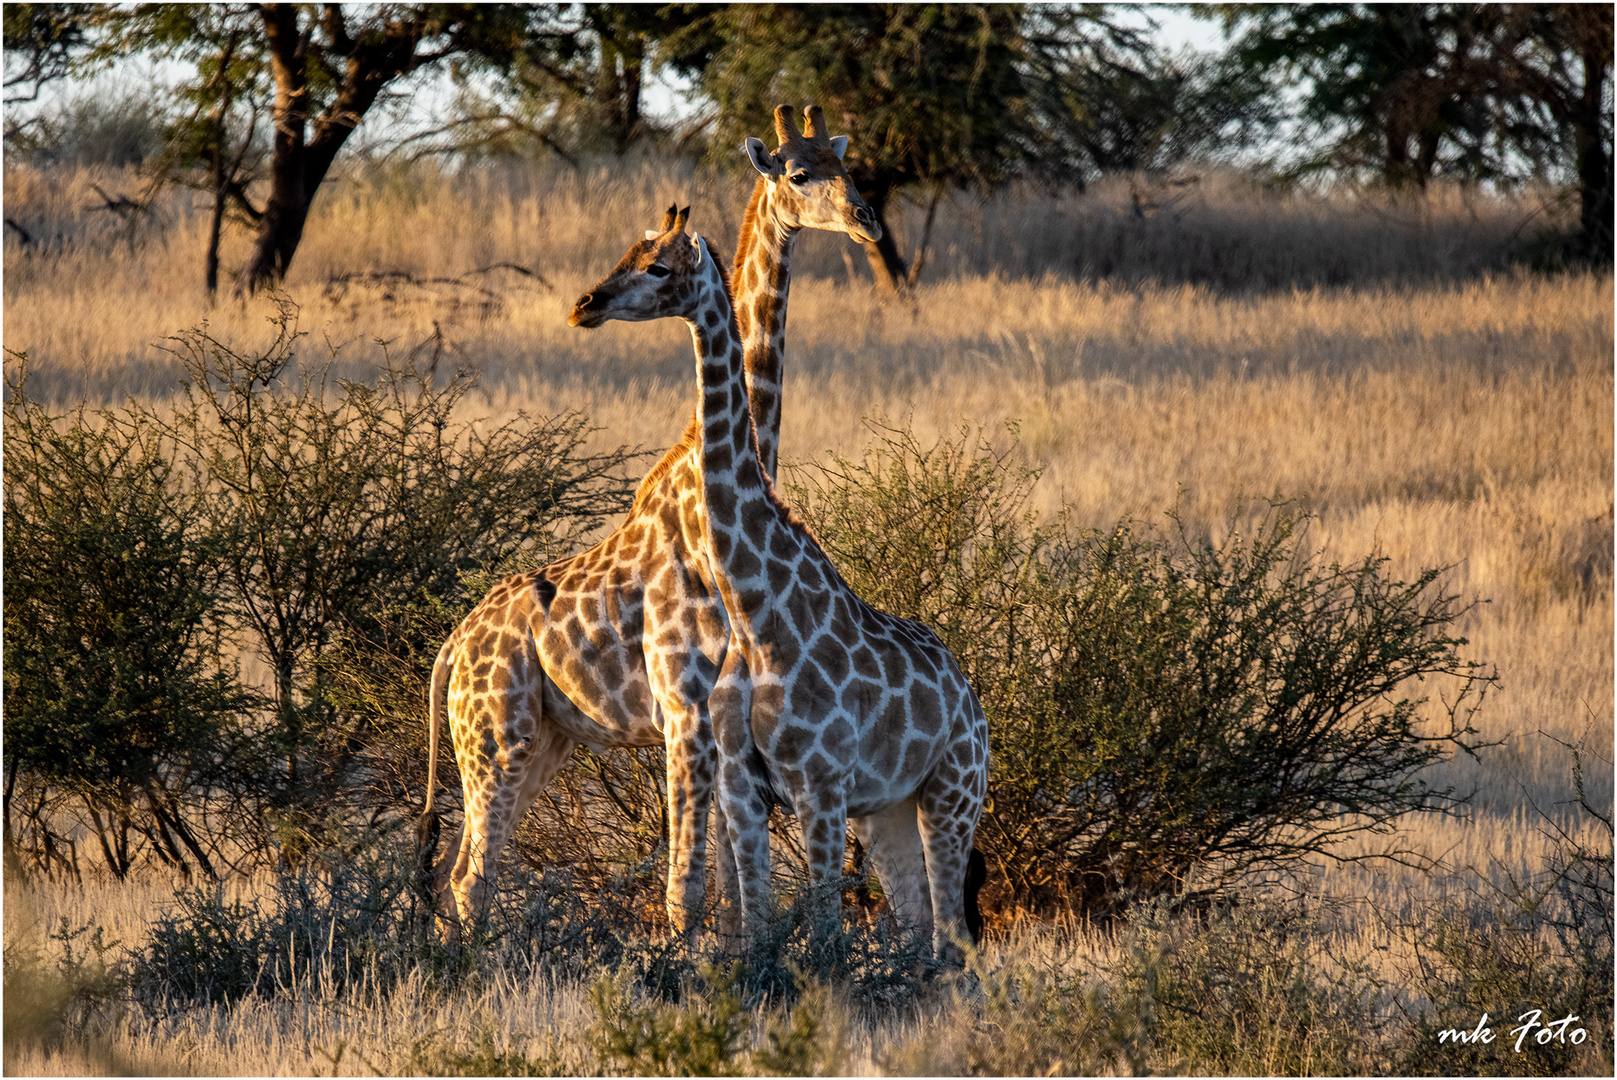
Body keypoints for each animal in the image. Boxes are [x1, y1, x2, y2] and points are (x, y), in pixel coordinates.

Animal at [410, 107, 879, 937]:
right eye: (797, 173)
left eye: (845, 168)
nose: (864, 221)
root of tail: (449, 650)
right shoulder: (687, 713)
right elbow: (700, 880)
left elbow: (723, 877)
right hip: (498, 741)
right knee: (468, 875)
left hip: (543, 743)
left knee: (454, 873)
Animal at [575, 213, 989, 963]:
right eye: (628, 251)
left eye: (657, 268)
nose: (585, 304)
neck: (756, 615)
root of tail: (971, 698)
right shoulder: (746, 789)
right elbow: (758, 923)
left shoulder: (818, 789)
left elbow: (822, 929)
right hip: (888, 810)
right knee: (920, 927)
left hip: (952, 793)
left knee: (954, 940)